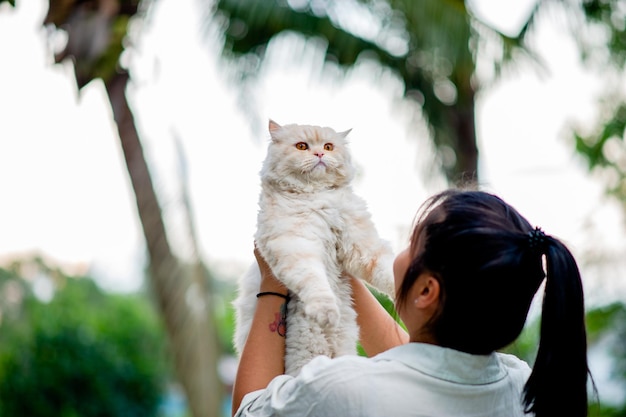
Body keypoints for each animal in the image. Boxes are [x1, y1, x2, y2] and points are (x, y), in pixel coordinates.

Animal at [232, 118, 392, 376]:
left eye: (328, 147)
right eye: (301, 146)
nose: (319, 154)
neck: (319, 198)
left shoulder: (363, 245)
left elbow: (388, 272)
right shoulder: (296, 245)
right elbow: (315, 281)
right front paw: (327, 312)